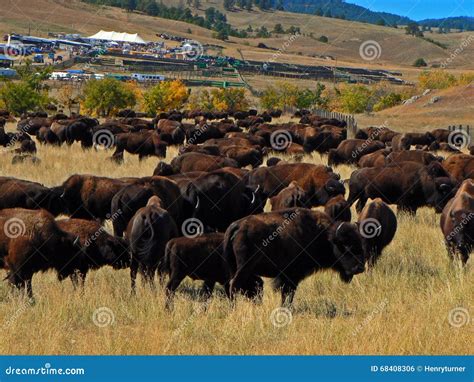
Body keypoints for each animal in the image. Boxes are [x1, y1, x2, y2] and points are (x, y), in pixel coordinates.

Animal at [224, 207, 364, 306]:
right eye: (346, 246)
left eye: (360, 245)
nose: (360, 268)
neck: (324, 236)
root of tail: (238, 226)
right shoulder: (290, 277)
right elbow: (288, 295)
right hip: (244, 268)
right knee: (234, 285)